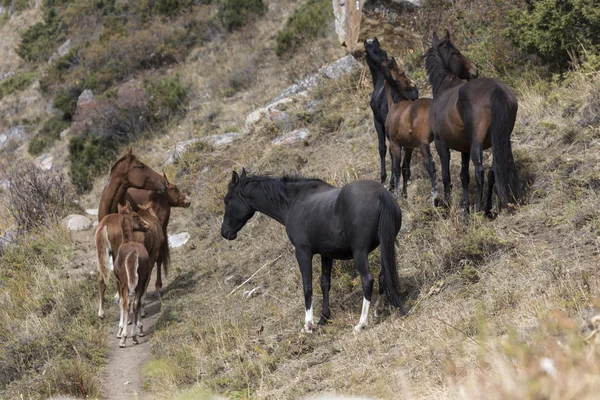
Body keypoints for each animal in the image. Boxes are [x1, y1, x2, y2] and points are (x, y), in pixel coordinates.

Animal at [114, 203, 152, 346]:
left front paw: (120, 331)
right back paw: (135, 336)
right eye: (136, 215)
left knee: (126, 304)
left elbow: (121, 303)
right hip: (140, 282)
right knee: (136, 303)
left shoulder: (118, 282)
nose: (147, 226)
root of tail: (134, 253)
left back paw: (124, 338)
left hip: (126, 284)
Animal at [219, 170, 404, 332]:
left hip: (360, 253)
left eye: (227, 200)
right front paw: (324, 317)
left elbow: (307, 286)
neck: (294, 202)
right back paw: (378, 311)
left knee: (368, 280)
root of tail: (380, 193)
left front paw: (308, 324)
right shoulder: (326, 254)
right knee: (383, 276)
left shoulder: (303, 252)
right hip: (385, 245)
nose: (225, 232)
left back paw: (361, 323)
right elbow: (325, 283)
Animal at [382, 57, 438, 205]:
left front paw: (397, 195)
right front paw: (404, 194)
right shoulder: (409, 147)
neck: (397, 102)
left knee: (430, 165)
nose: (414, 85)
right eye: (401, 73)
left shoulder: (395, 145)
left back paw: (436, 199)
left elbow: (396, 169)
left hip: (424, 144)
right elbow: (405, 169)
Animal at [424, 31, 524, 214]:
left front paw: (448, 204)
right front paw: (465, 208)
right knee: (493, 171)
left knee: (480, 171)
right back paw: (487, 208)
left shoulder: (441, 144)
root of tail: (496, 89)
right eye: (456, 53)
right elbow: (464, 176)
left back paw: (479, 207)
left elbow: (446, 175)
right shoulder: (464, 148)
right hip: (501, 140)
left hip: (477, 143)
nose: (474, 70)